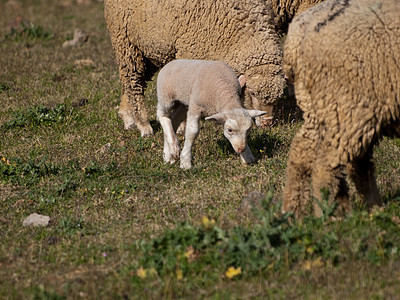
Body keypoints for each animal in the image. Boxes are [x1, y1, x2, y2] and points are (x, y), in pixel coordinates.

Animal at [103, 0, 284, 137]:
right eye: (252, 93)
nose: (267, 124)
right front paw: (183, 126)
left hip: (149, 48)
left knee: (133, 82)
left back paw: (128, 118)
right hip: (126, 42)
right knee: (133, 83)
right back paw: (144, 125)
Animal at [282, 0, 400, 217]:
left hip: (321, 107)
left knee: (303, 152)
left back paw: (294, 213)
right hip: (350, 105)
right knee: (327, 165)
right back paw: (330, 216)